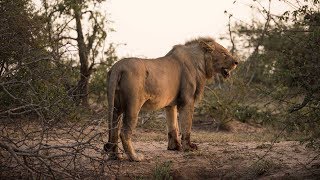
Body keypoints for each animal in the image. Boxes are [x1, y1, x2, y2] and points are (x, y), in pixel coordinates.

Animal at [104, 37, 238, 161]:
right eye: (224, 53)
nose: (236, 62)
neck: (201, 64)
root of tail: (117, 66)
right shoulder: (187, 100)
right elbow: (186, 125)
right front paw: (188, 147)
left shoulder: (170, 104)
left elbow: (173, 125)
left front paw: (175, 147)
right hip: (133, 105)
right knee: (124, 133)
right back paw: (135, 157)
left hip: (116, 107)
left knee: (114, 130)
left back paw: (116, 156)